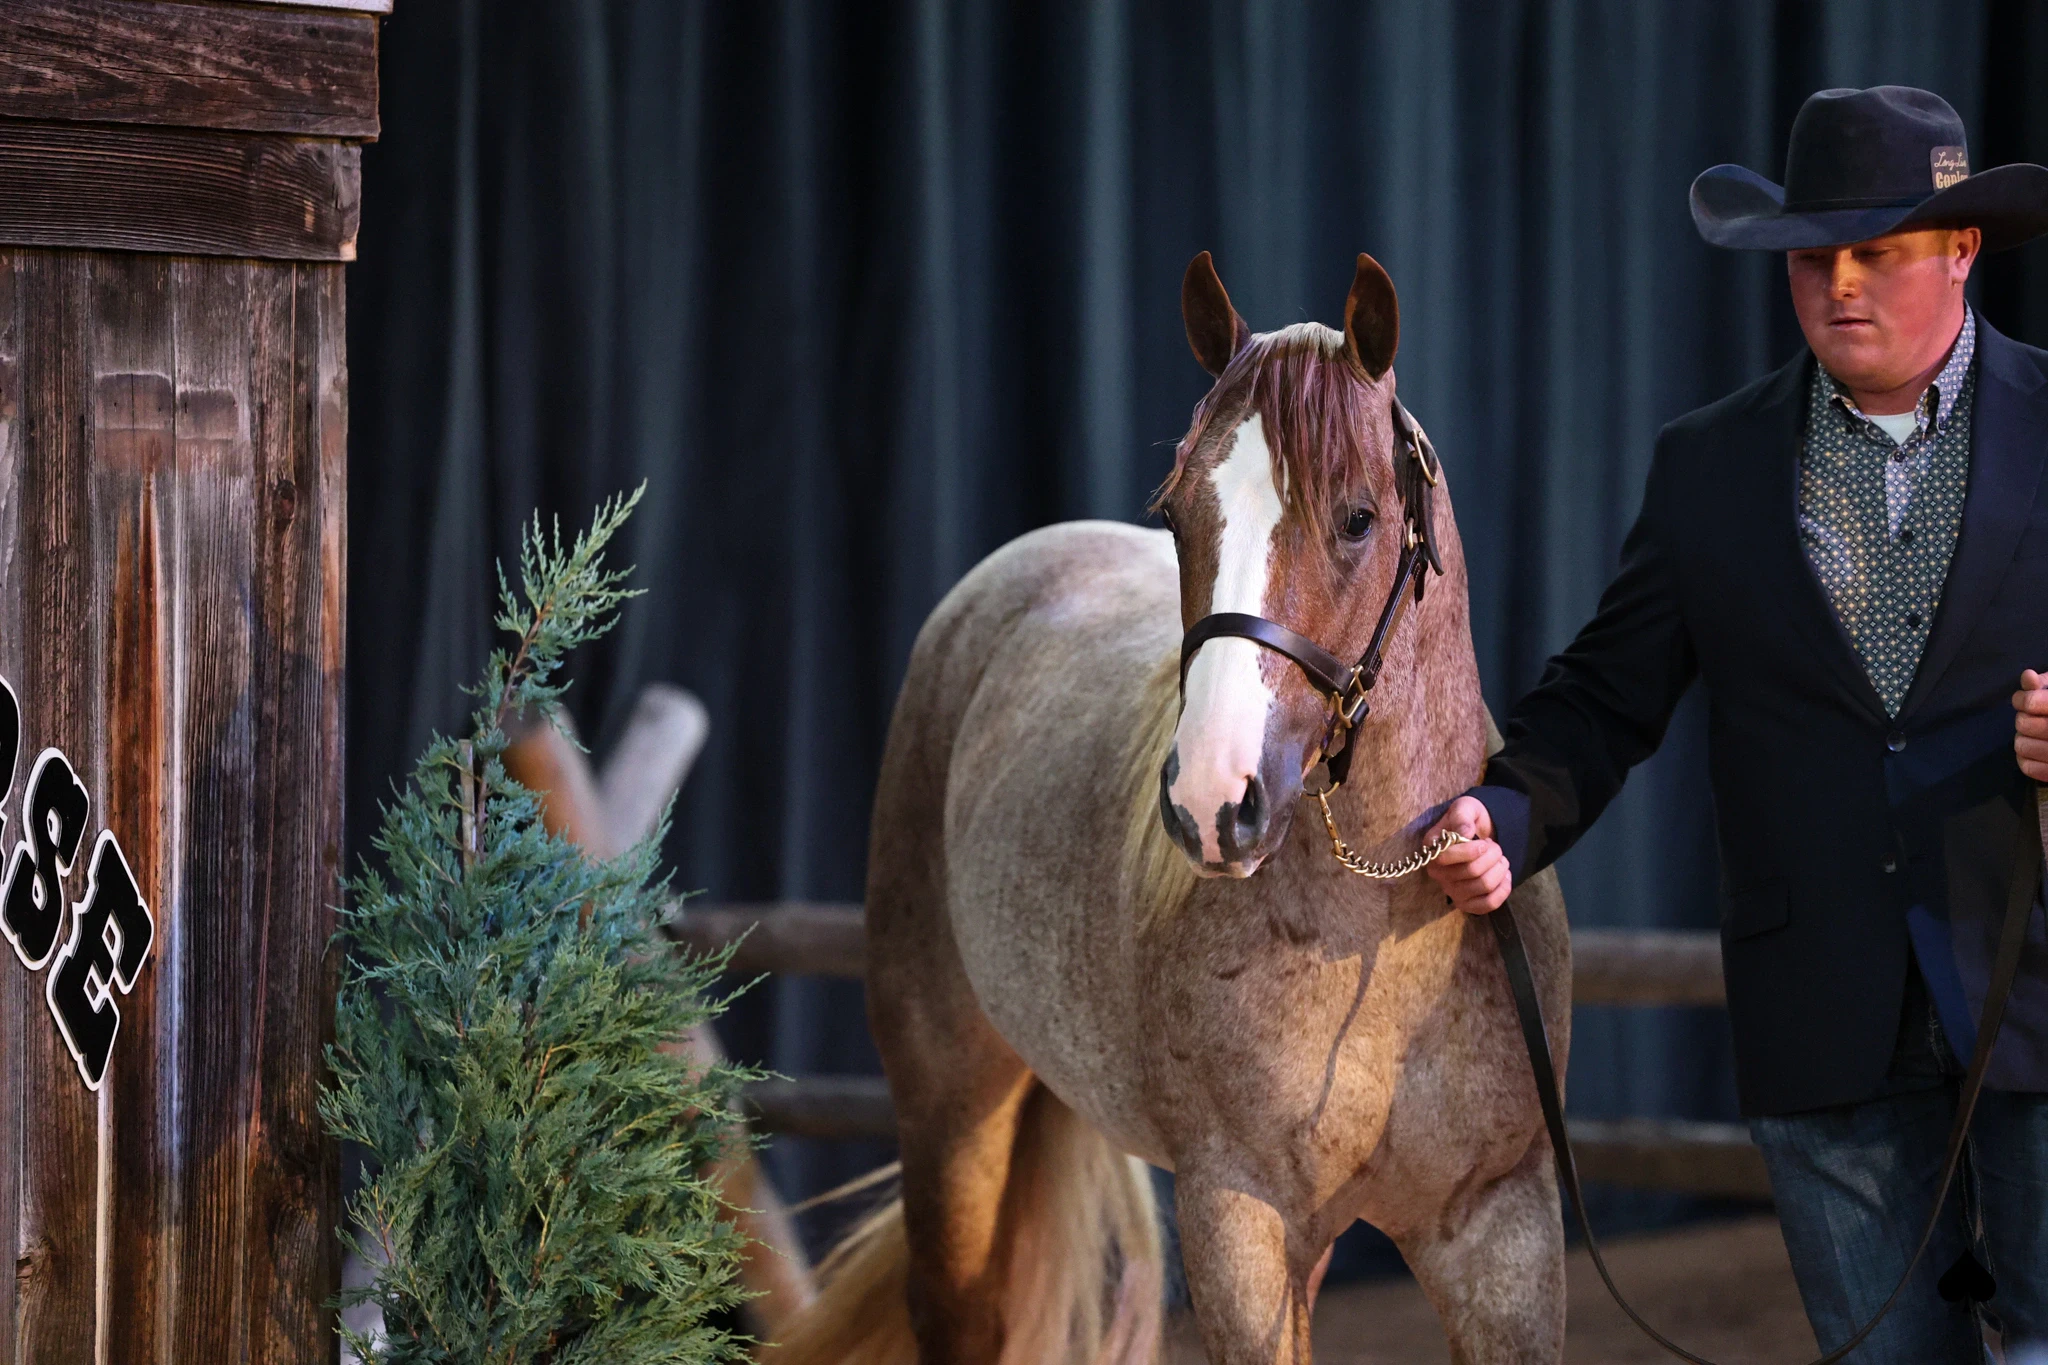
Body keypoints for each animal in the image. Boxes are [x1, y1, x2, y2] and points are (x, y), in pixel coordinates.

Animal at [773, 252, 1573, 1365]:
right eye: (1176, 510)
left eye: (1358, 516)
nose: (1212, 799)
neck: (1387, 934)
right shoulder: (1237, 1222)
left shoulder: (1502, 1227)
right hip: (947, 1104)